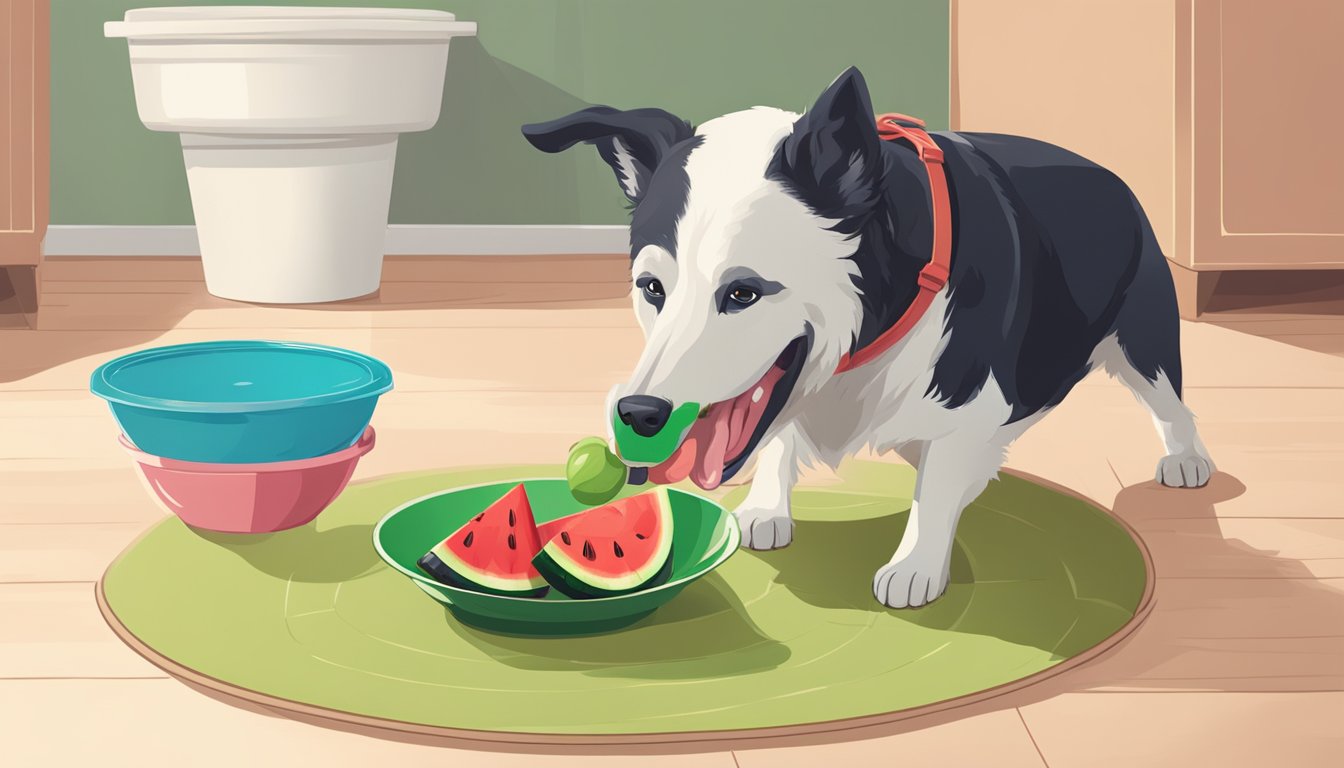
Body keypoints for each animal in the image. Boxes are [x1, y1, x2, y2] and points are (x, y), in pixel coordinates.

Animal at [518, 67, 1214, 607]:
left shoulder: (971, 401)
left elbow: (940, 481)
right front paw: (767, 509)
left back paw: (1187, 460)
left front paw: (915, 566)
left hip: (1144, 339)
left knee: (1170, 402)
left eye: (743, 293)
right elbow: (780, 438)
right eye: (651, 288)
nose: (639, 414)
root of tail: (1108, 174)